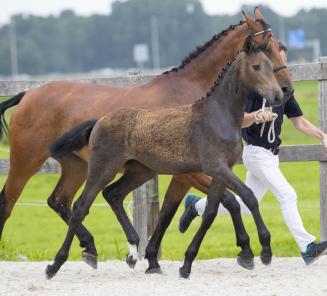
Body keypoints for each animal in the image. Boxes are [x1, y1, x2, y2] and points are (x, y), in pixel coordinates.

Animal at [46, 40, 284, 280]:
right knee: (80, 207)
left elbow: (211, 212)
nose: (278, 96)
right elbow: (248, 196)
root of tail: (99, 120)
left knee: (112, 194)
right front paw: (265, 250)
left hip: (140, 171)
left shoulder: (221, 171)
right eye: (256, 66)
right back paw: (57, 264)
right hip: (102, 168)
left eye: (270, 65)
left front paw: (187, 264)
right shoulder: (215, 167)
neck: (218, 117)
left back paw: (133, 252)